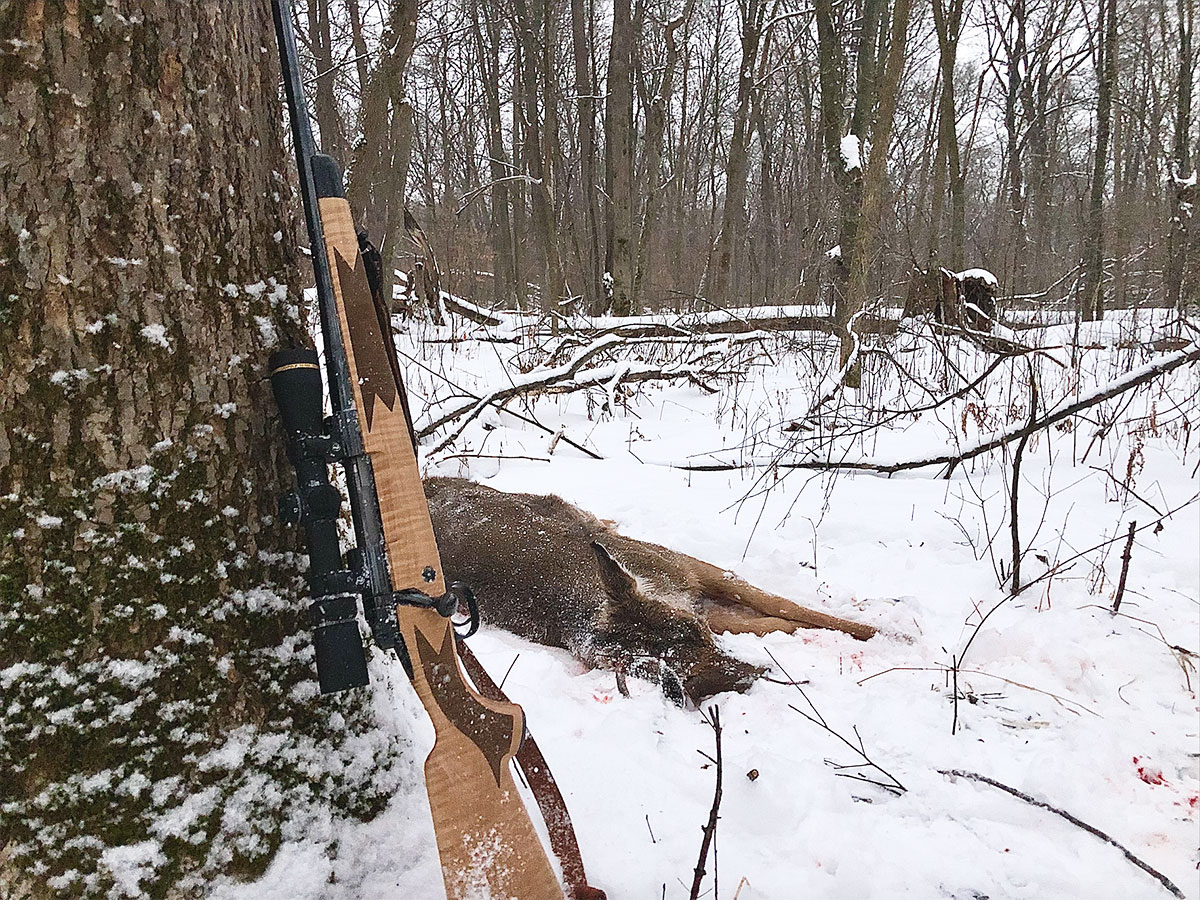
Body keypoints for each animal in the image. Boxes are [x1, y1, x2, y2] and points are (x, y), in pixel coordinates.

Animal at [425, 477, 877, 705]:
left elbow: (778, 604)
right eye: (677, 678)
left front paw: (880, 630)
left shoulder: (682, 568)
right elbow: (771, 623)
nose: (756, 677)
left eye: (697, 631)